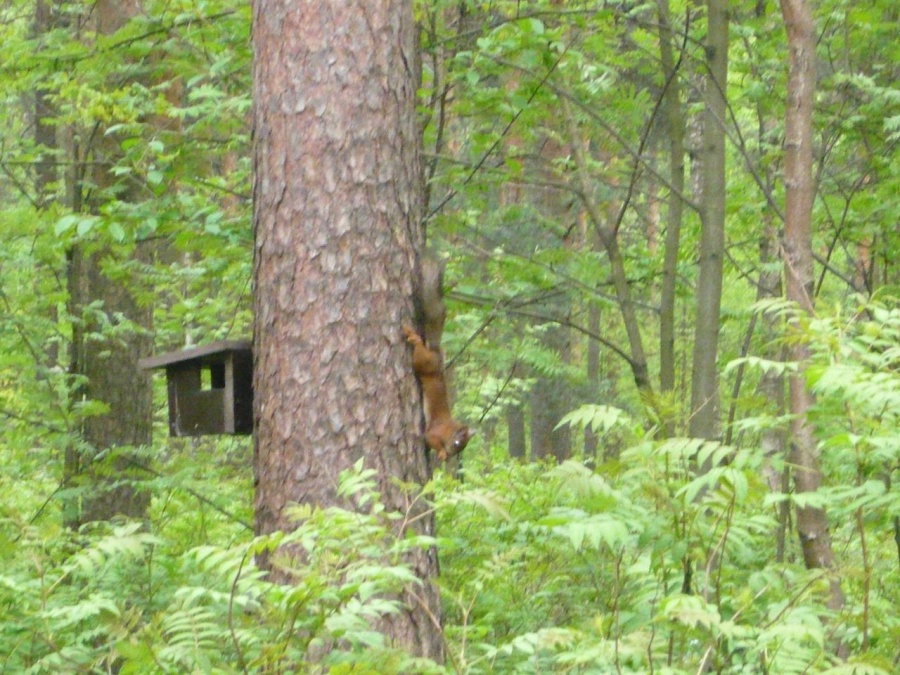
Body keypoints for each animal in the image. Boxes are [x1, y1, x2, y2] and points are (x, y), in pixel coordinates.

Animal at [400, 256, 472, 462]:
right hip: (423, 362)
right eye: (457, 443)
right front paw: (440, 452)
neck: (448, 427)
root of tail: (437, 355)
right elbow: (430, 439)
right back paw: (412, 336)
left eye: (463, 446)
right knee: (418, 351)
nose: (450, 456)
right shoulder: (434, 432)